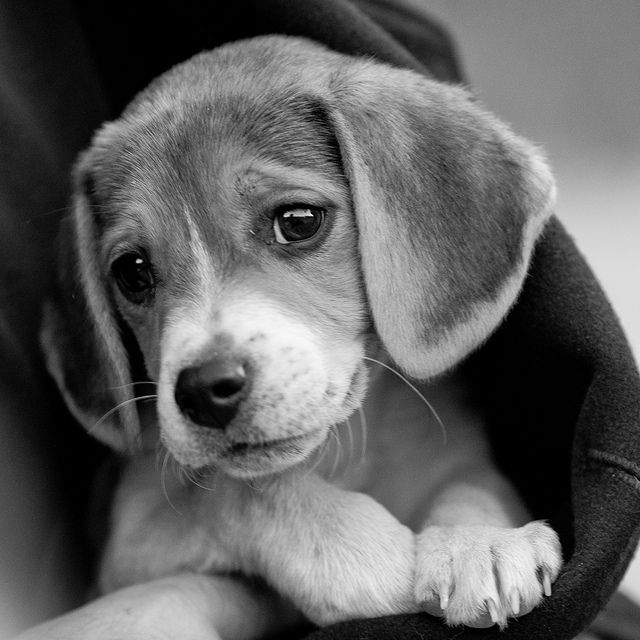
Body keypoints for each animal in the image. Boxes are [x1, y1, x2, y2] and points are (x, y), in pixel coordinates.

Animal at [41, 37, 560, 636]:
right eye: (132, 272)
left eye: (298, 220)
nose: (203, 390)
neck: (341, 453)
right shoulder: (129, 531)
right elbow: (238, 490)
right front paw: (361, 550)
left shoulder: (460, 454)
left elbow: (474, 483)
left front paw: (482, 543)